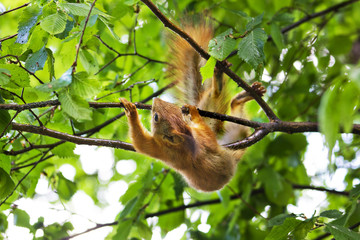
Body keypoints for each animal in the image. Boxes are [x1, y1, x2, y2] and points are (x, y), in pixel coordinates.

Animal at [120, 22, 264, 191]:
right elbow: (141, 143)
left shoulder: (159, 148)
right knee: (232, 113)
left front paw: (130, 109)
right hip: (235, 133)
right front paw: (194, 114)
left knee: (220, 100)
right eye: (156, 117)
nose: (155, 99)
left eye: (174, 108)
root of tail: (233, 161)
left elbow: (141, 142)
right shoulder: (170, 149)